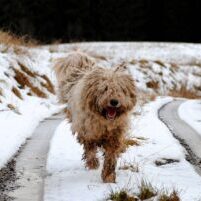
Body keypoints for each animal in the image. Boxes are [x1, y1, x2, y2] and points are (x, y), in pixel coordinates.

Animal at [54, 51, 137, 183]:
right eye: (105, 88)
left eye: (120, 89)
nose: (114, 102)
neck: (104, 121)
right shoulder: (87, 131)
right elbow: (90, 148)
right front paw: (93, 163)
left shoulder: (115, 135)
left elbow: (111, 155)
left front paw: (108, 176)